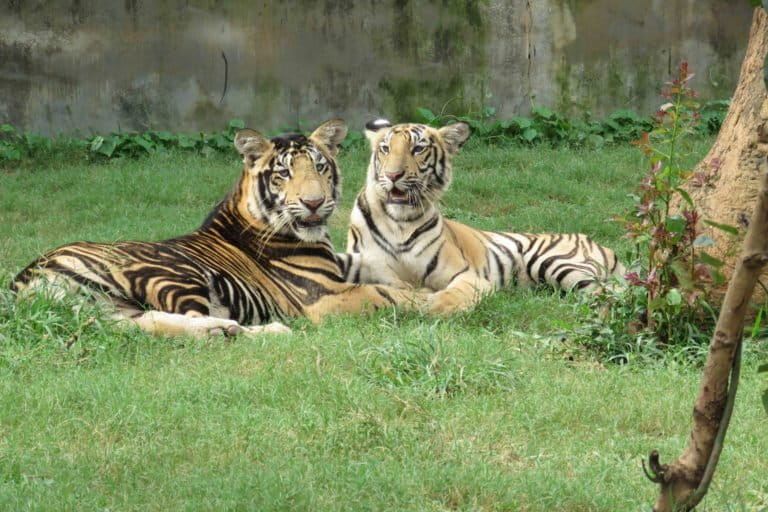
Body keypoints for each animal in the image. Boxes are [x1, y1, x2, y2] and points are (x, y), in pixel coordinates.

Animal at [12, 118, 428, 338]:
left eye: (320, 167)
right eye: (283, 174)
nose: (313, 202)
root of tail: (26, 276)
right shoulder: (324, 294)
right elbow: (391, 294)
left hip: (113, 308)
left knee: (148, 323)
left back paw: (226, 329)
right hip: (172, 273)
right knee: (194, 318)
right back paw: (253, 329)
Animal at [342, 119, 624, 316]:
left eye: (418, 148)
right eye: (385, 149)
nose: (392, 175)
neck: (399, 222)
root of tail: (595, 241)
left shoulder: (466, 275)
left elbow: (454, 294)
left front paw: (437, 306)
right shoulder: (375, 268)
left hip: (558, 263)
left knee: (613, 290)